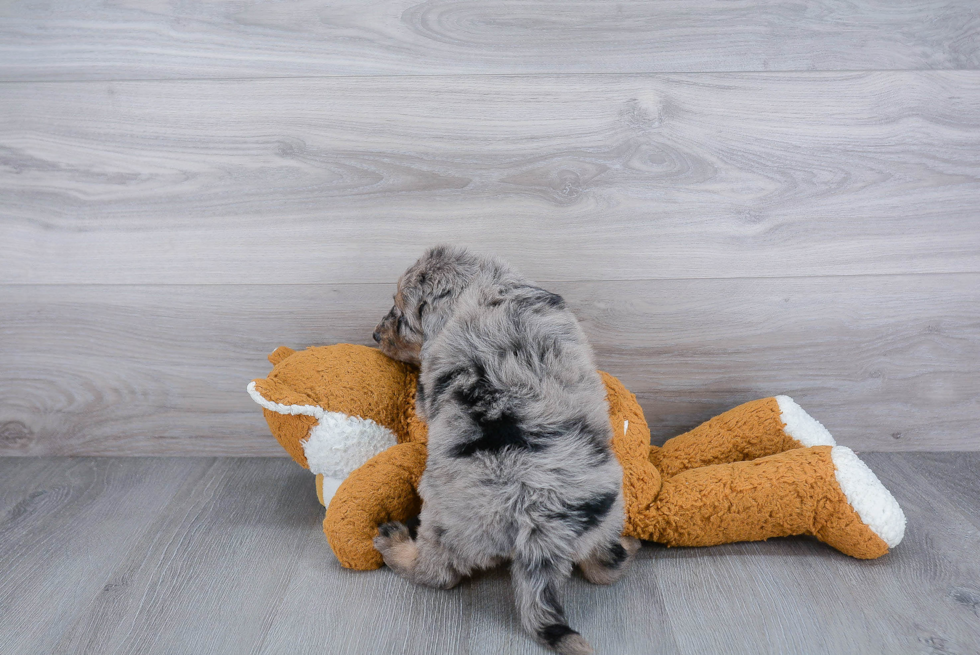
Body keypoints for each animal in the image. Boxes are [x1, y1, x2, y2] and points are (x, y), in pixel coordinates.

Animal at [372, 247, 640, 655]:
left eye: (401, 316)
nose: (375, 335)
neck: (484, 286)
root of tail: (537, 528)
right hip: (606, 513)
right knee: (604, 567)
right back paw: (630, 545)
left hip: (443, 524)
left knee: (435, 574)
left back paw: (396, 546)